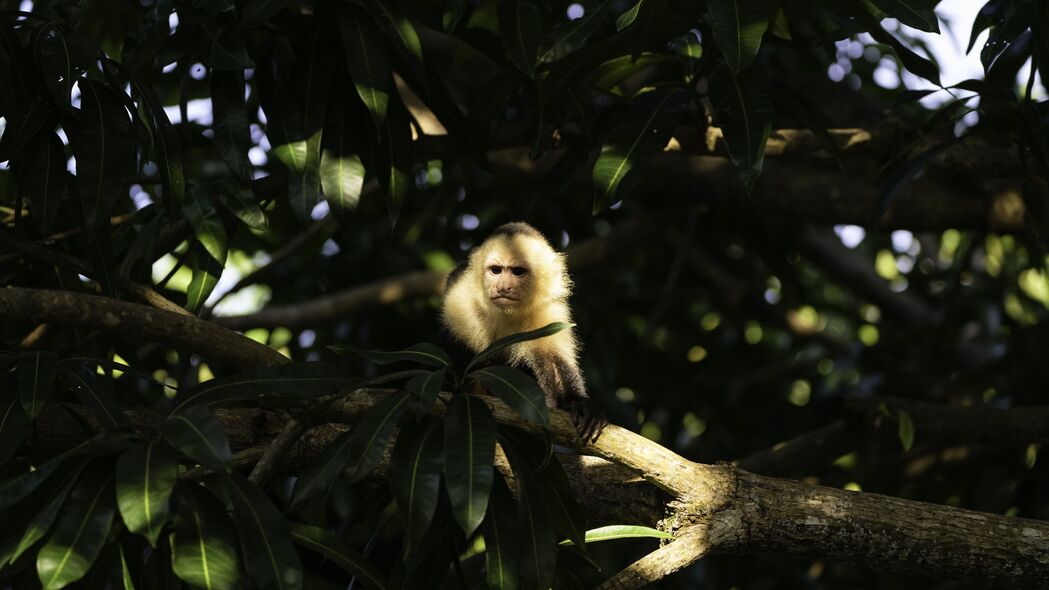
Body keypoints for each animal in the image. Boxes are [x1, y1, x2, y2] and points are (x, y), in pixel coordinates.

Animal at [440, 220, 608, 440]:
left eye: (518, 272)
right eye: (496, 270)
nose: (503, 287)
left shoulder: (549, 312)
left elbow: (553, 361)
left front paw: (580, 404)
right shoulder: (459, 302)